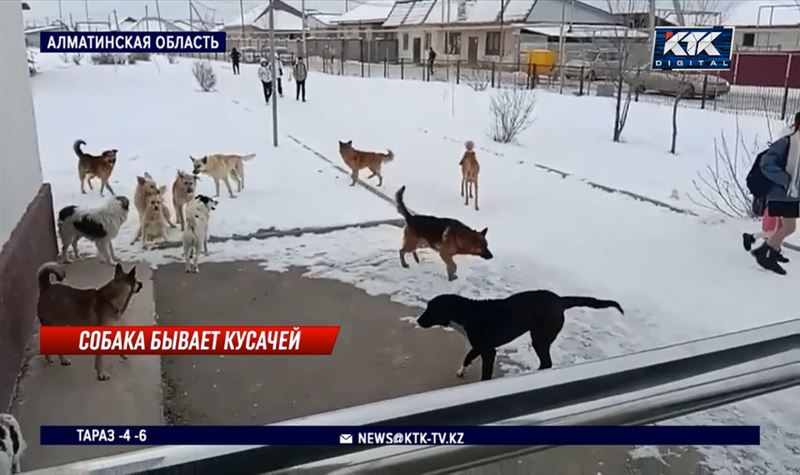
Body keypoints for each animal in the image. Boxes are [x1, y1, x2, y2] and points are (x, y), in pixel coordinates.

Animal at [418, 292, 624, 382]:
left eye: (431, 310)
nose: (418, 321)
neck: (466, 314)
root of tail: (560, 300)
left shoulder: (488, 351)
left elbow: (486, 373)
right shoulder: (479, 346)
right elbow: (467, 356)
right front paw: (462, 370)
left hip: (540, 337)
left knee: (546, 362)